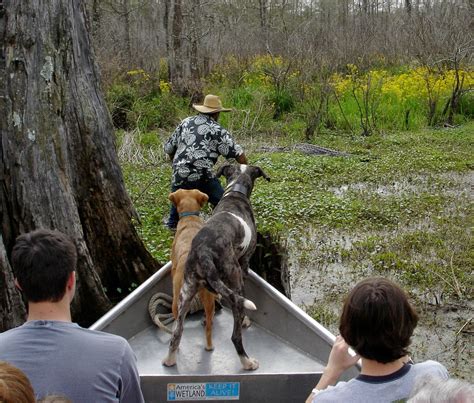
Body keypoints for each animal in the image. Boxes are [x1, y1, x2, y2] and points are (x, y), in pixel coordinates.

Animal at [168, 189, 217, 350]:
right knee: (209, 325)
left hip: (176, 300)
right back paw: (209, 345)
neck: (189, 217)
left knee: (178, 325)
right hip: (209, 299)